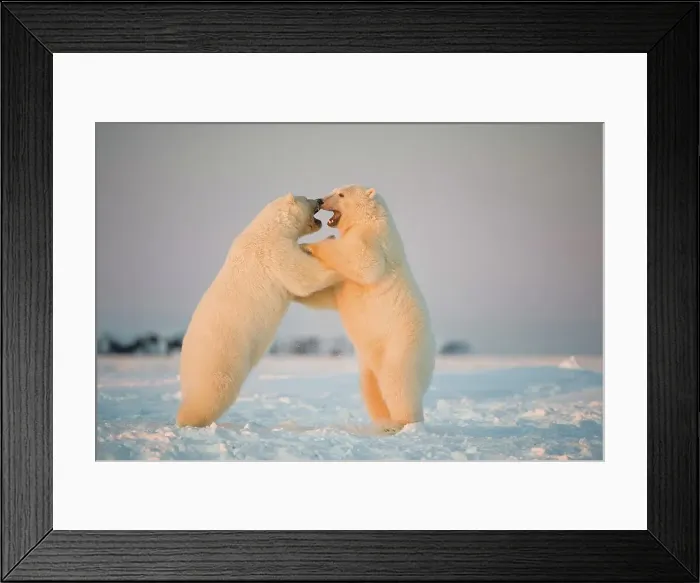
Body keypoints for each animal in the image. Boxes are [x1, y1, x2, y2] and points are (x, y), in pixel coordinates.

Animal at [176, 193, 342, 428]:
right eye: (307, 198)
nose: (319, 199)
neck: (269, 228)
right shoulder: (274, 252)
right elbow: (302, 275)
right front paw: (332, 245)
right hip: (221, 356)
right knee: (213, 392)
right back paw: (189, 419)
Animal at [297, 185, 436, 432]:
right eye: (334, 190)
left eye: (341, 194)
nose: (321, 199)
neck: (370, 219)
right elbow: (331, 294)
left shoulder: (375, 240)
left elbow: (363, 262)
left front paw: (309, 246)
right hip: (369, 360)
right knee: (371, 387)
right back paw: (382, 422)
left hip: (401, 344)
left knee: (398, 383)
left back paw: (404, 423)